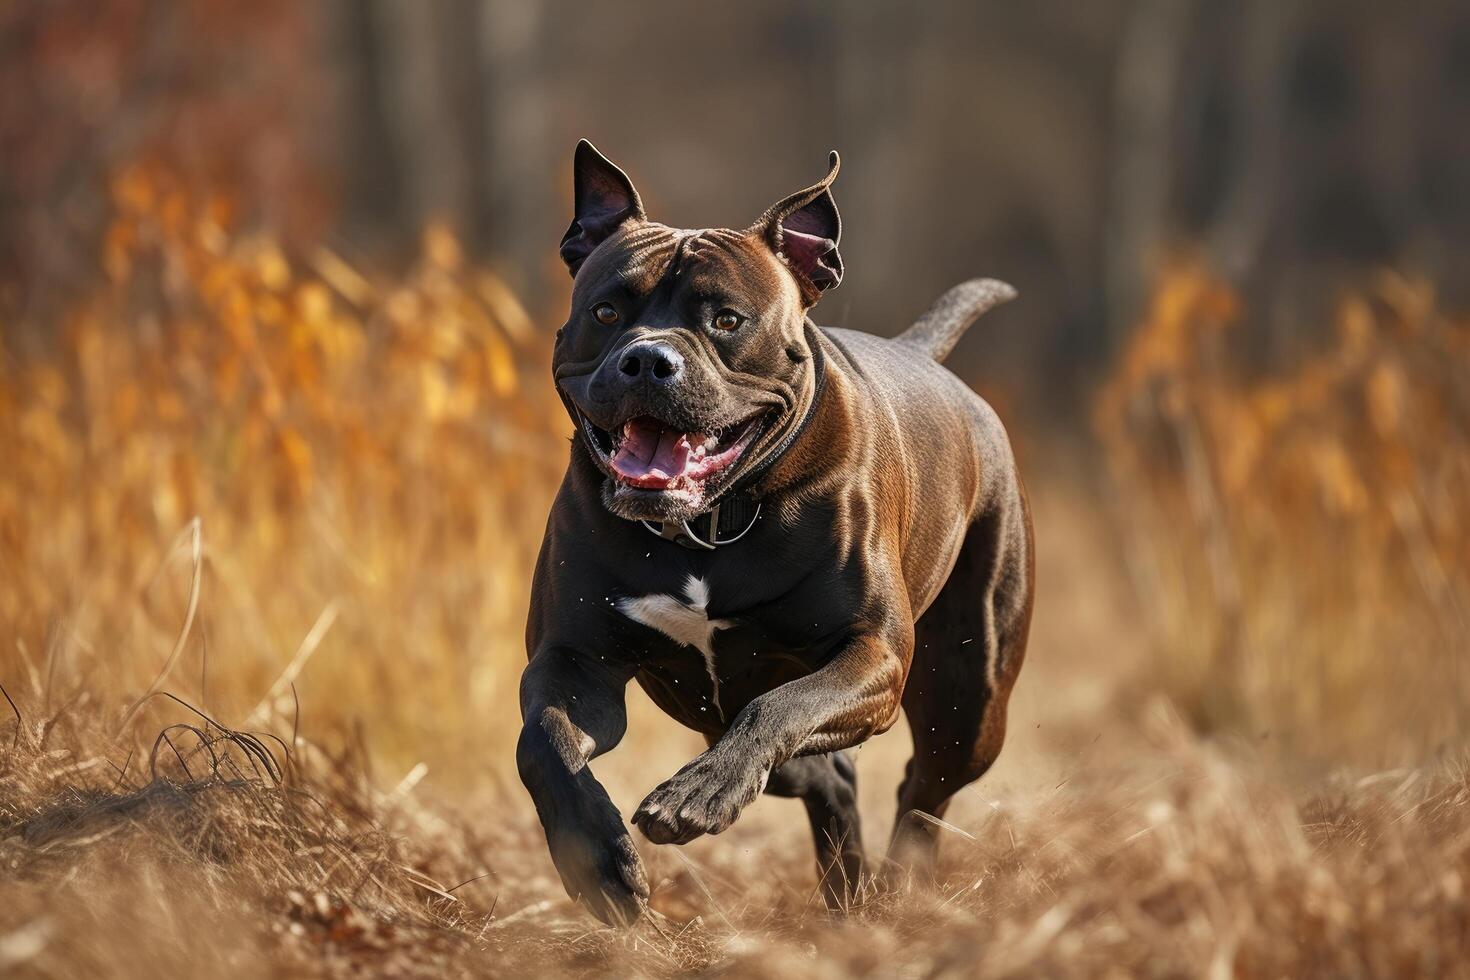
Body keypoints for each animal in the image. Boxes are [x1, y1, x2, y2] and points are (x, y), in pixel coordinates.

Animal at [517, 141, 1034, 922]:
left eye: (727, 321)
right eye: (606, 311)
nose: (647, 359)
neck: (710, 522)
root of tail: (922, 354)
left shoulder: (871, 654)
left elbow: (781, 706)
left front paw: (696, 795)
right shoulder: (575, 662)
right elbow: (544, 741)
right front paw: (599, 863)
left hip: (968, 694)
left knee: (923, 785)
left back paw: (899, 887)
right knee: (829, 776)